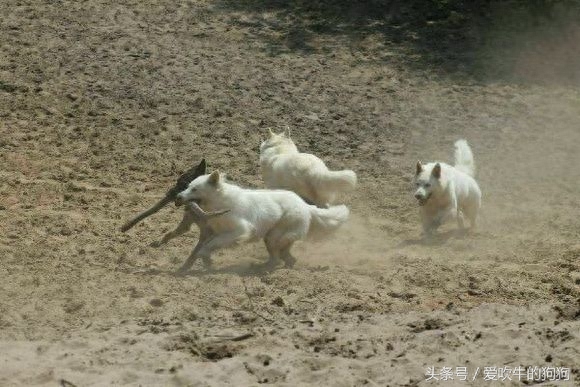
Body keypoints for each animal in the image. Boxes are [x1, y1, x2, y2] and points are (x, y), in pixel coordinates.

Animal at [173, 171, 348, 272]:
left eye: (195, 189)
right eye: (188, 186)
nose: (178, 197)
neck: (220, 202)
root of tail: (306, 206)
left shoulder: (240, 230)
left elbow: (210, 246)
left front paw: (206, 258)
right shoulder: (215, 232)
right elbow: (207, 245)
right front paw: (204, 261)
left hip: (275, 236)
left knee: (278, 258)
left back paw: (266, 270)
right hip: (272, 239)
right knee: (285, 258)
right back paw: (274, 268)